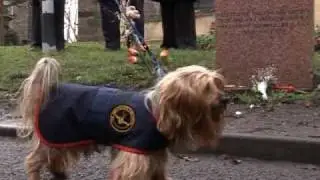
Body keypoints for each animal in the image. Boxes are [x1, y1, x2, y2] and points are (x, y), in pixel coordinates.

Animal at [17, 57, 229, 179]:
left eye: (218, 84)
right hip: (56, 133)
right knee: (34, 160)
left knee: (55, 157)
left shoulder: (154, 154)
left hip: (65, 137)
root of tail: (48, 90)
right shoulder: (134, 155)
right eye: (206, 88)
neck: (159, 109)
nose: (225, 99)